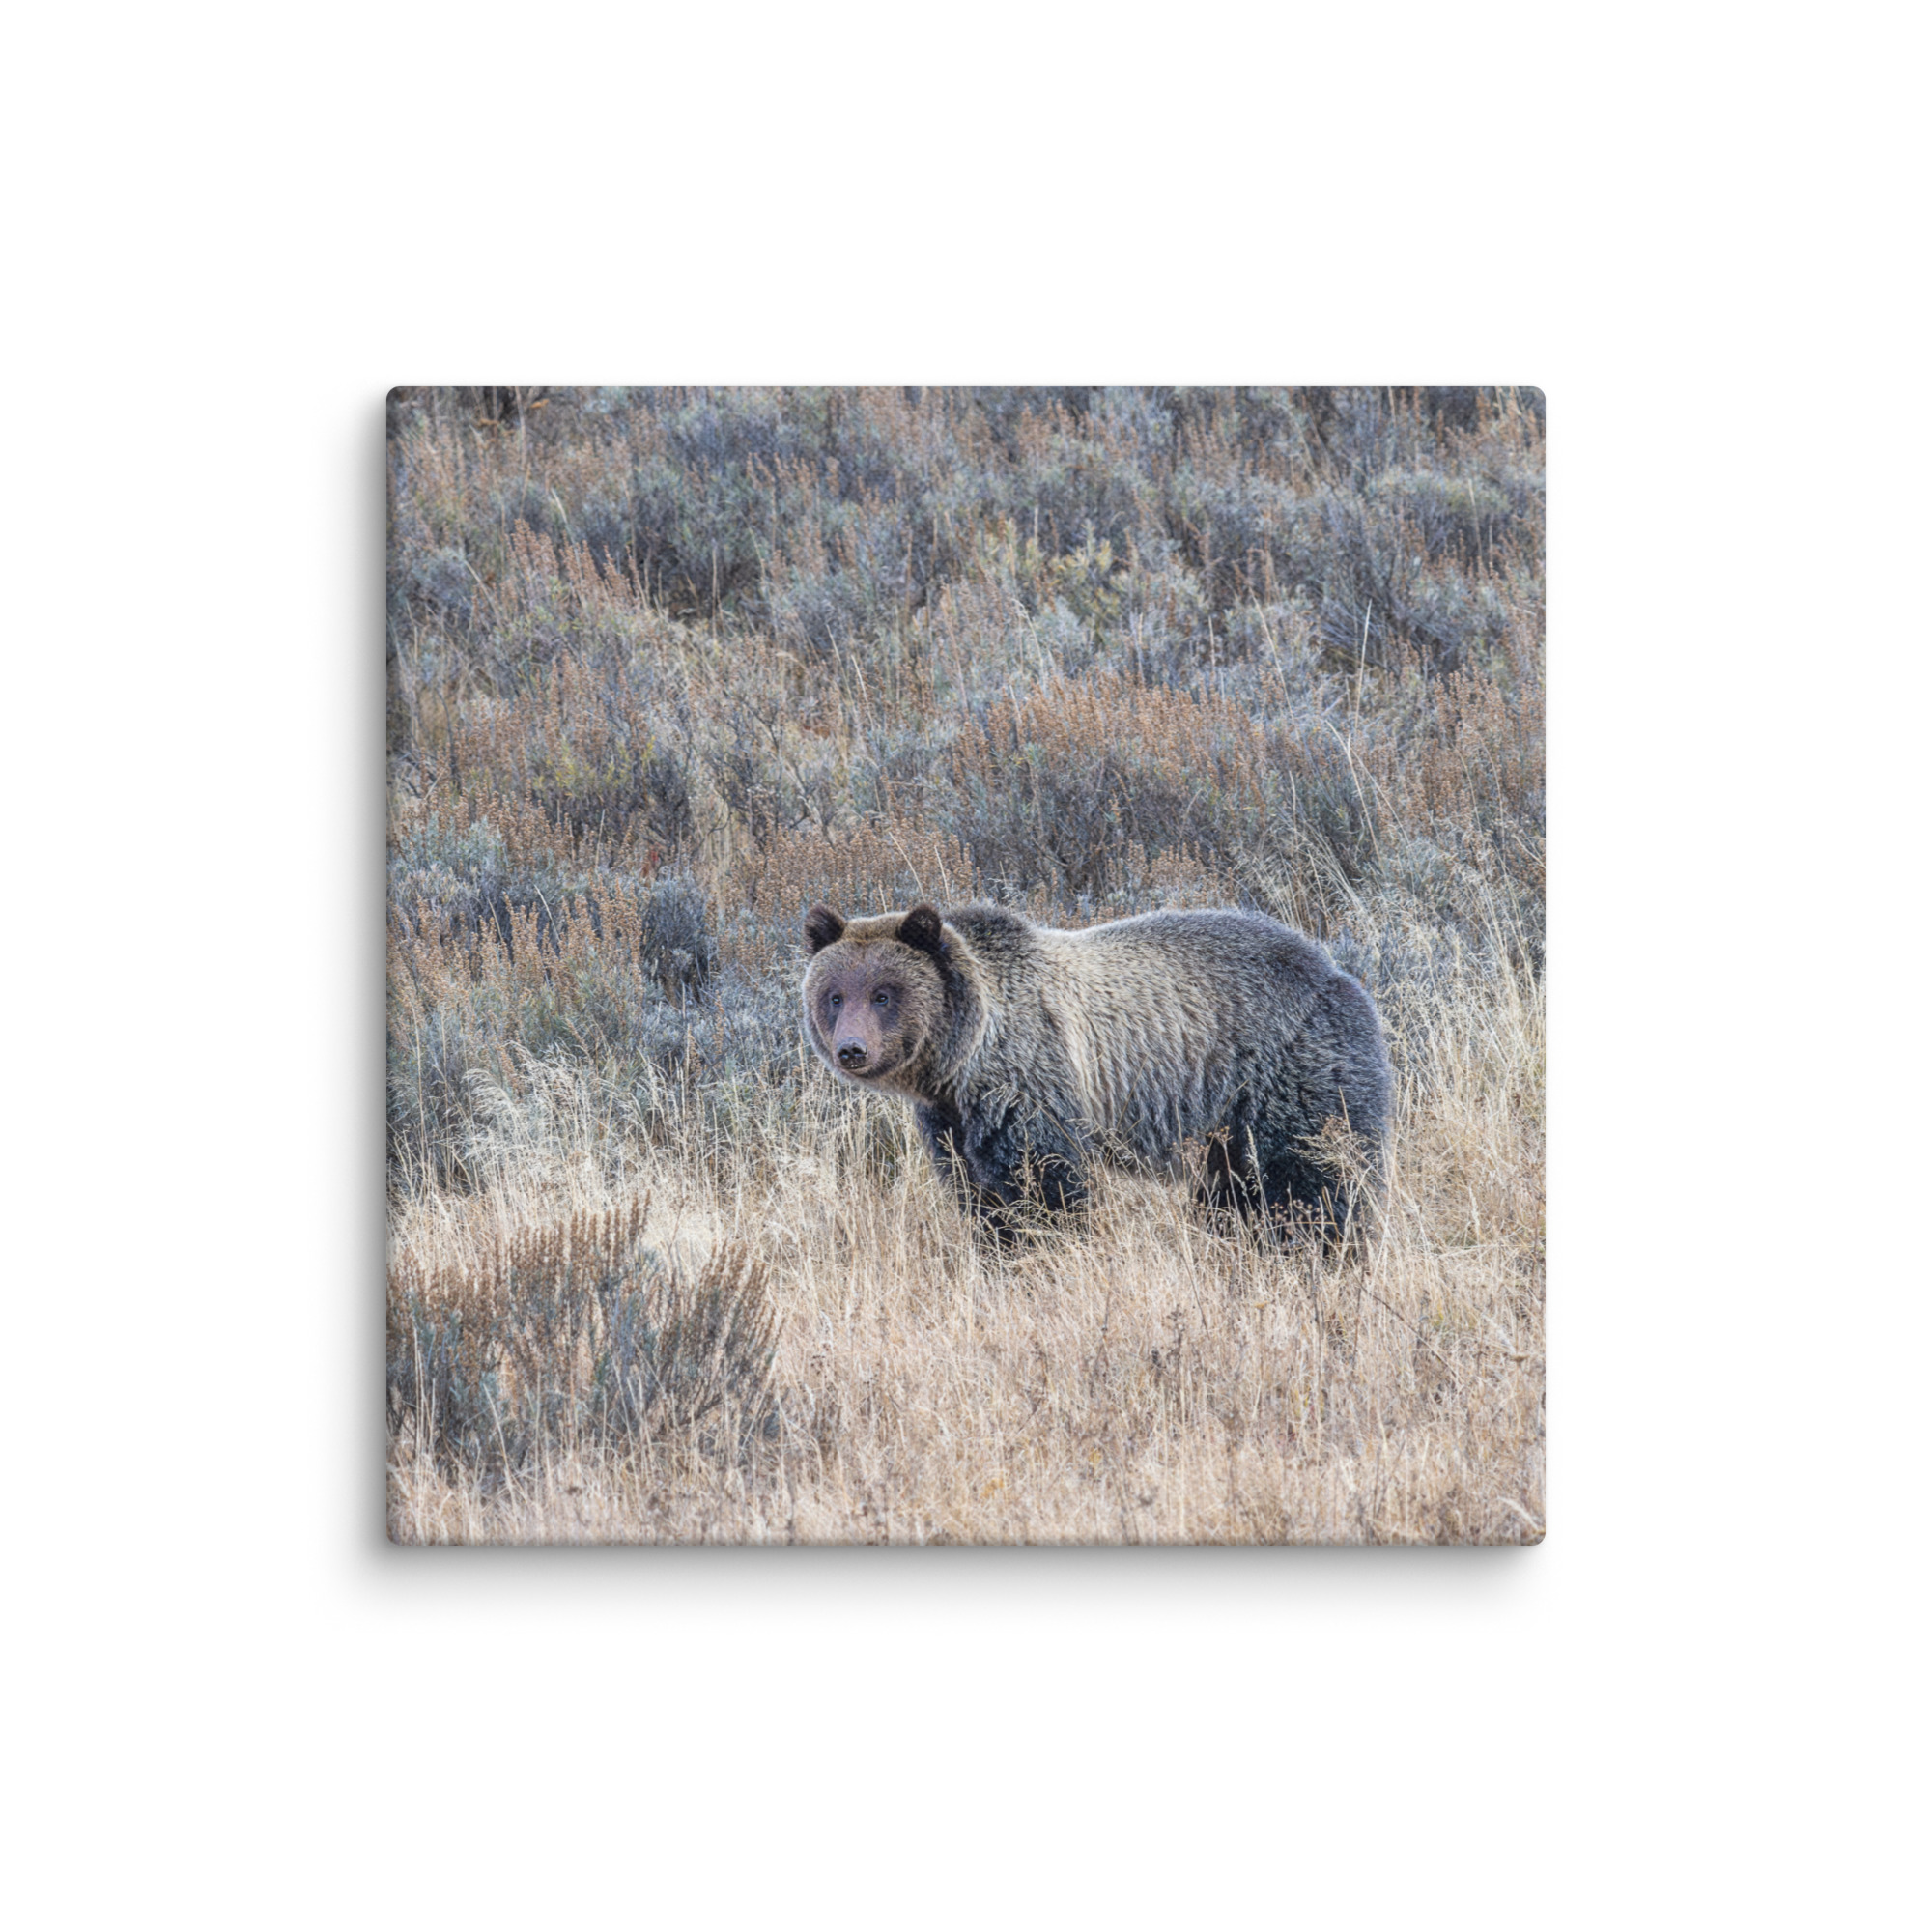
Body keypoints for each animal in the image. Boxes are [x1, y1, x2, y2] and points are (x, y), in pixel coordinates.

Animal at [800, 899, 1390, 1243]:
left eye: (883, 994)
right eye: (835, 995)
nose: (852, 1049)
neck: (961, 1062)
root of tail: (1338, 972)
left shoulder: (1031, 1081)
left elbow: (1047, 1186)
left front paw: (1049, 1248)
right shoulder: (951, 1121)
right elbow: (979, 1195)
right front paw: (998, 1248)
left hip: (1289, 1073)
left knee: (1313, 1177)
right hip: (1226, 1124)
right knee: (1232, 1192)